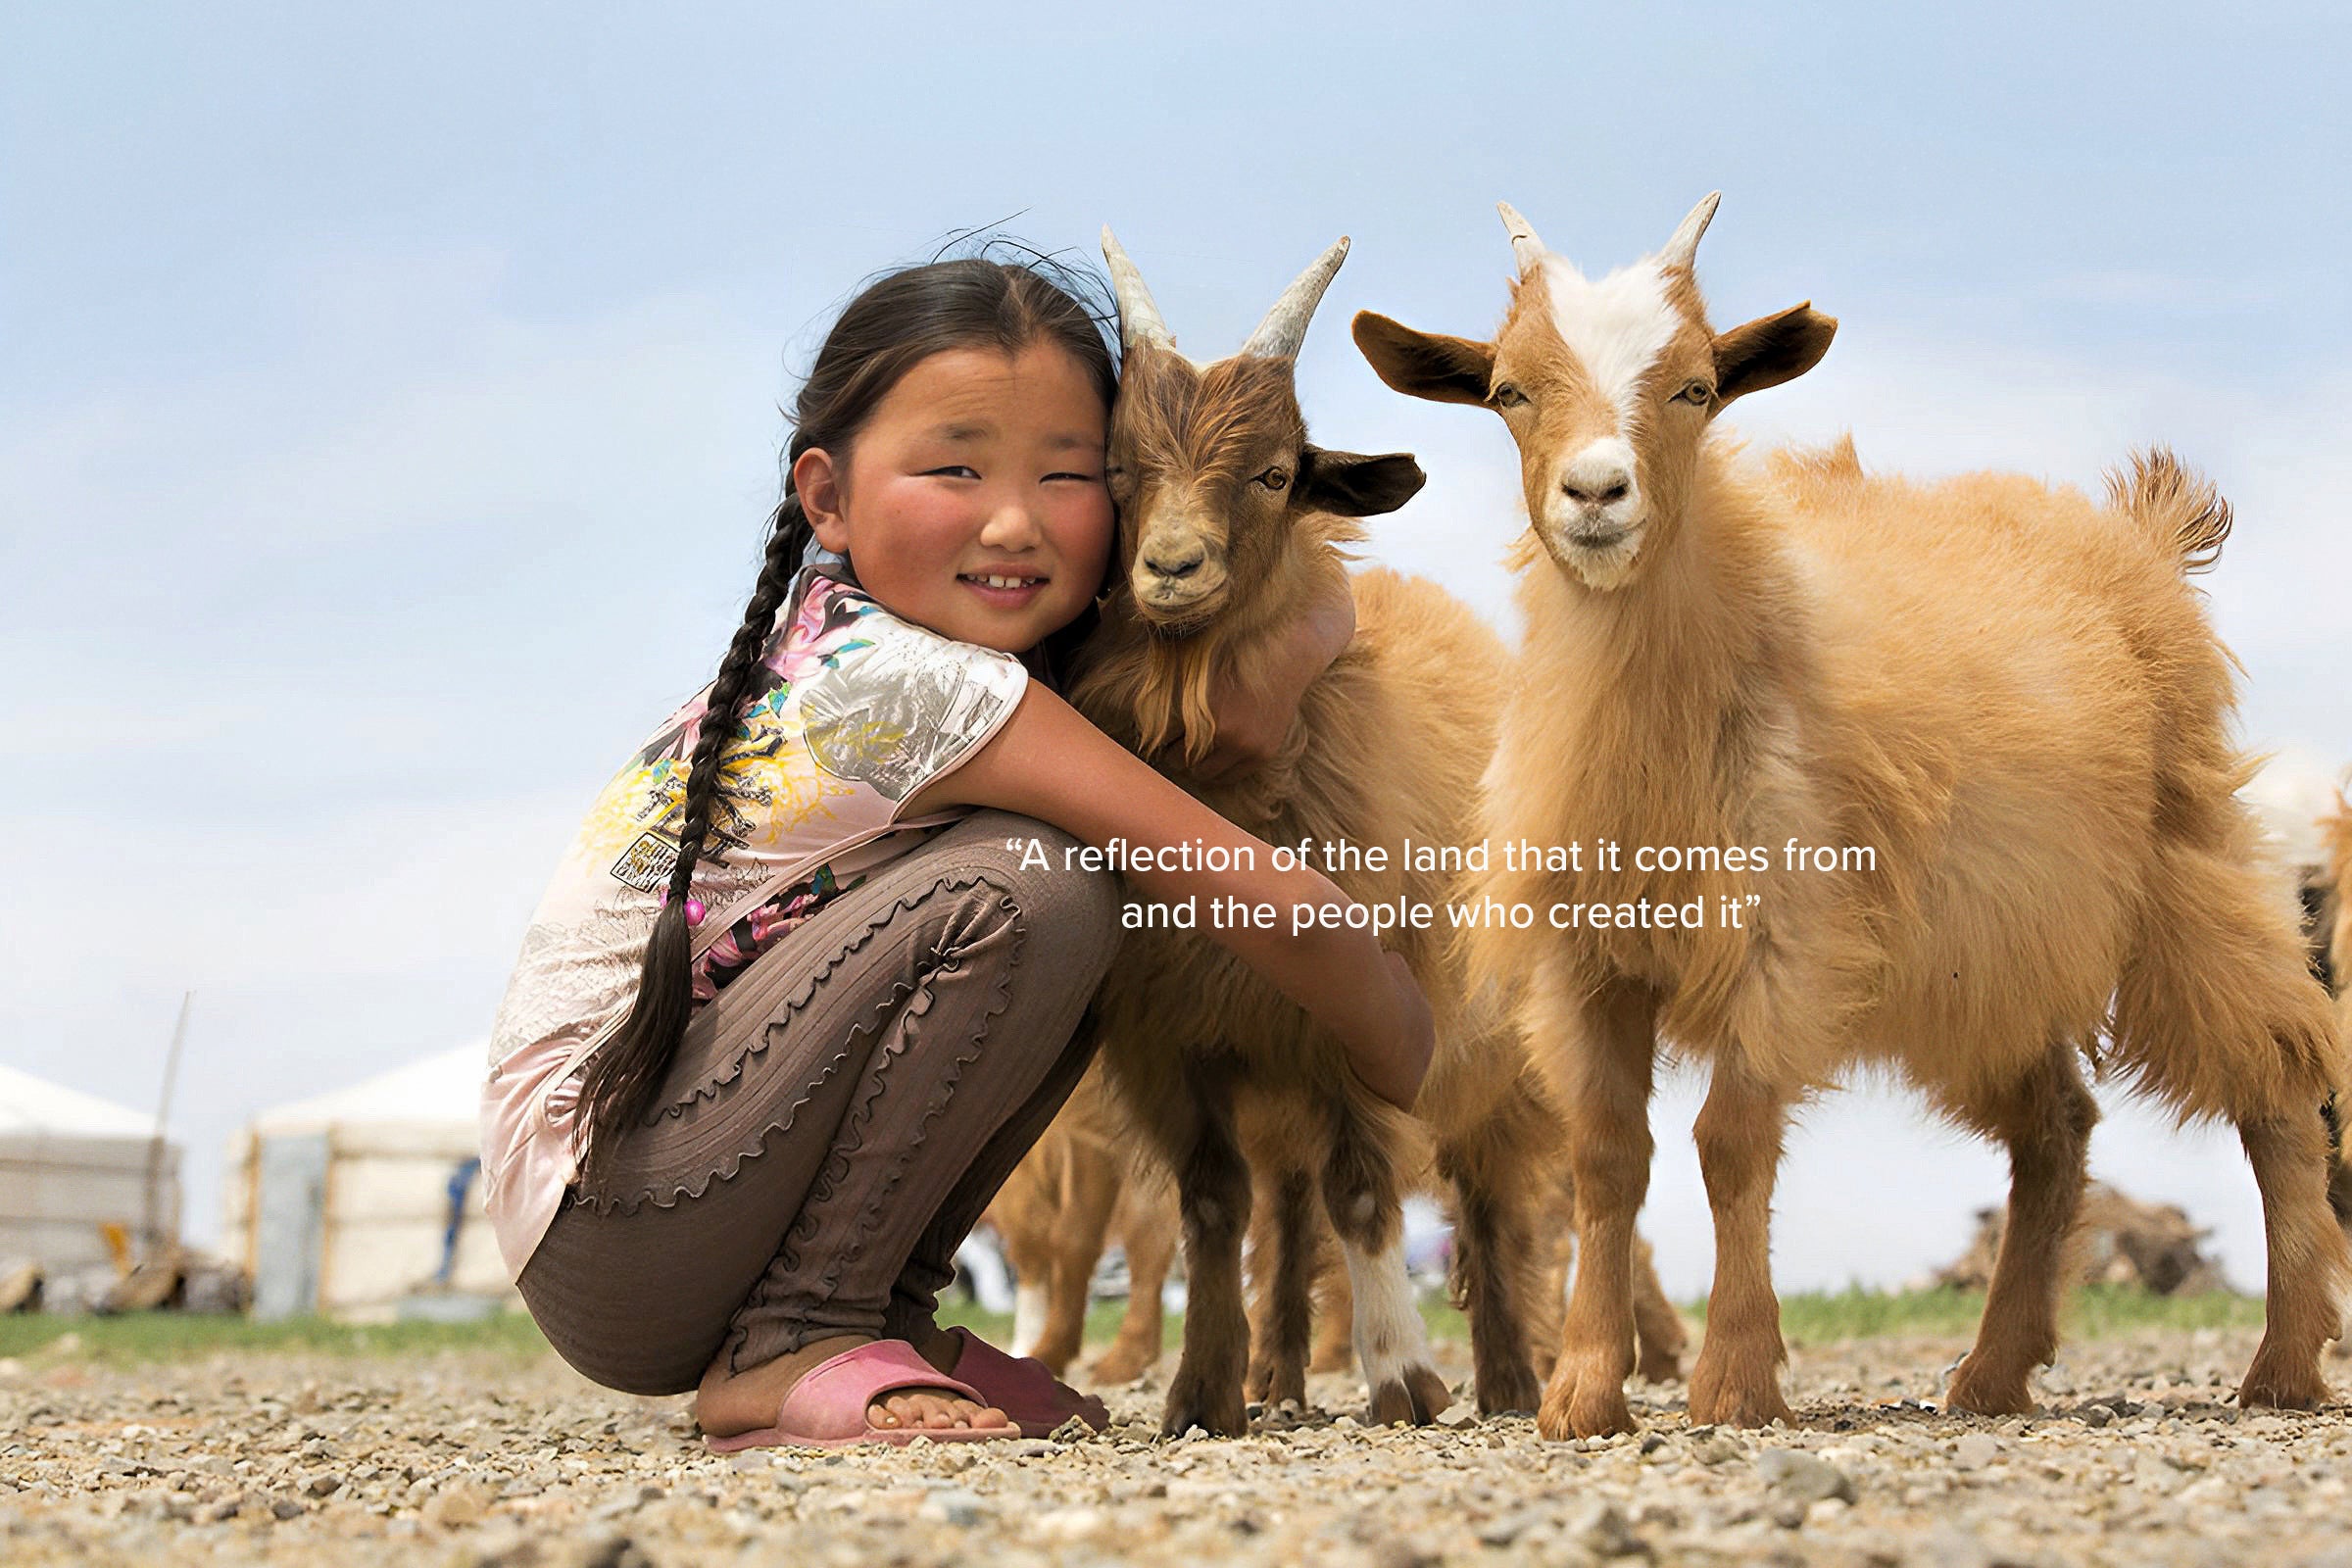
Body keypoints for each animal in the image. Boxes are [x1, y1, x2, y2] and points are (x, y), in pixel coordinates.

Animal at [1354, 193, 2349, 1438]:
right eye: (1509, 391)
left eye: (1694, 387)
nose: (1594, 494)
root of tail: (2139, 537)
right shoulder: (1589, 960)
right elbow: (1607, 1156)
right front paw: (1582, 1393)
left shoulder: (1785, 933)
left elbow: (1730, 1142)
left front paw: (1736, 1381)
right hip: (1991, 962)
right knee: (2058, 1127)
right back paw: (1992, 1373)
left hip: (2186, 877)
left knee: (2281, 1085)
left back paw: (2283, 1363)